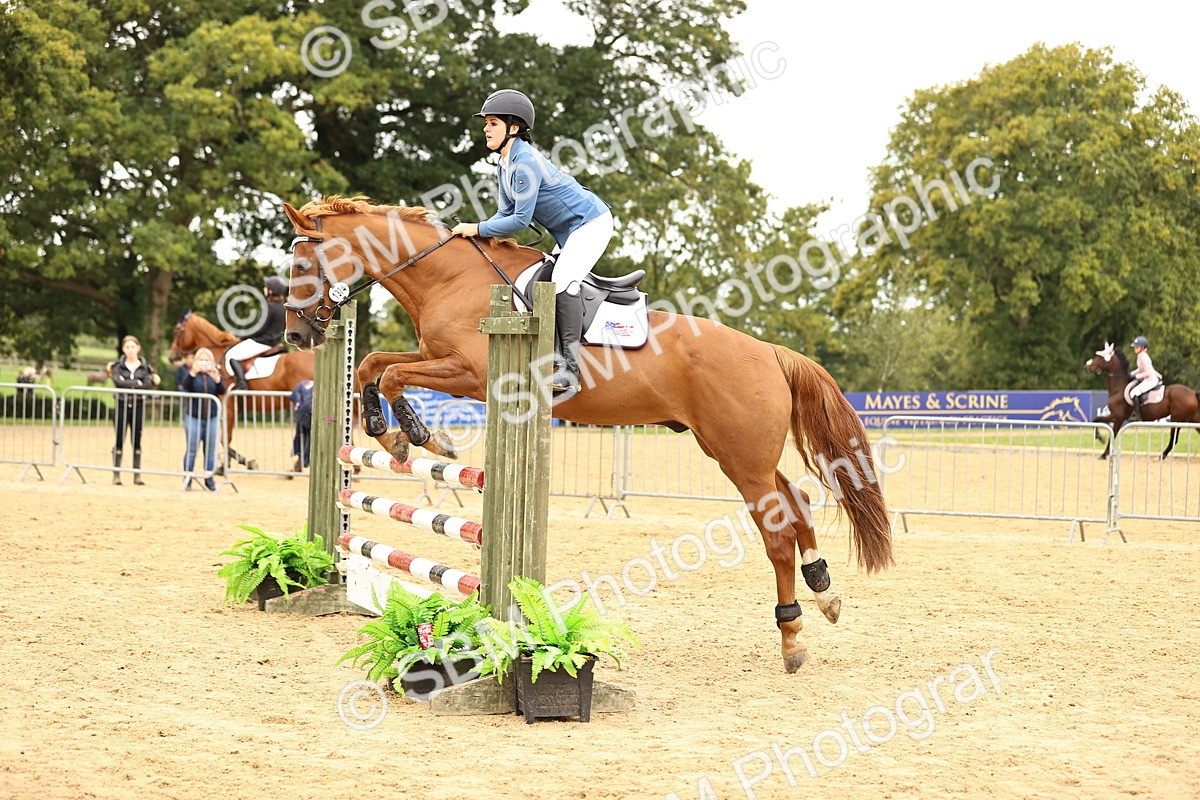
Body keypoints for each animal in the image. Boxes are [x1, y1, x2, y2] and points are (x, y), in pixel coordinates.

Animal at [168, 310, 315, 470]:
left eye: (177, 331)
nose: (171, 357)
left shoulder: (228, 406)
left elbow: (225, 439)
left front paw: (241, 463)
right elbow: (225, 438)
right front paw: (227, 464)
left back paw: (296, 467)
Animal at [280, 196, 893, 673]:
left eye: (303, 259)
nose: (295, 335)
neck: (451, 278)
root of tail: (769, 352)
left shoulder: (472, 373)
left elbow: (390, 373)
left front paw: (416, 437)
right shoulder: (436, 359)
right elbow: (373, 365)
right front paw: (393, 434)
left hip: (741, 458)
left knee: (777, 534)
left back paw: (792, 639)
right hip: (733, 451)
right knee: (797, 502)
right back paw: (826, 593)